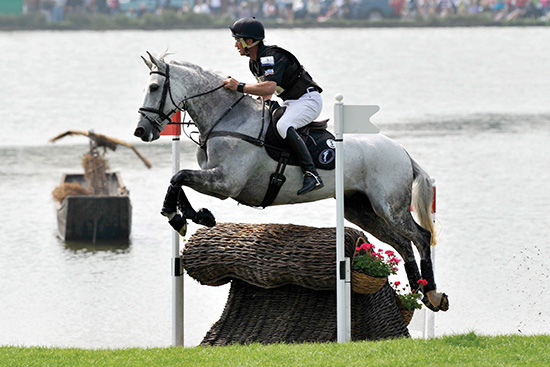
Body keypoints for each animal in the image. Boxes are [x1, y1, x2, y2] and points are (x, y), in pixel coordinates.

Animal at [136, 51, 450, 310]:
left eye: (153, 88)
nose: (141, 131)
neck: (228, 120)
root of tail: (403, 152)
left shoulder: (226, 183)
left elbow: (179, 177)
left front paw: (178, 215)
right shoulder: (216, 178)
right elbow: (178, 179)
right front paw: (192, 215)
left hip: (389, 207)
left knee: (420, 237)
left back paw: (433, 294)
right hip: (360, 210)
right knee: (402, 243)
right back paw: (421, 291)